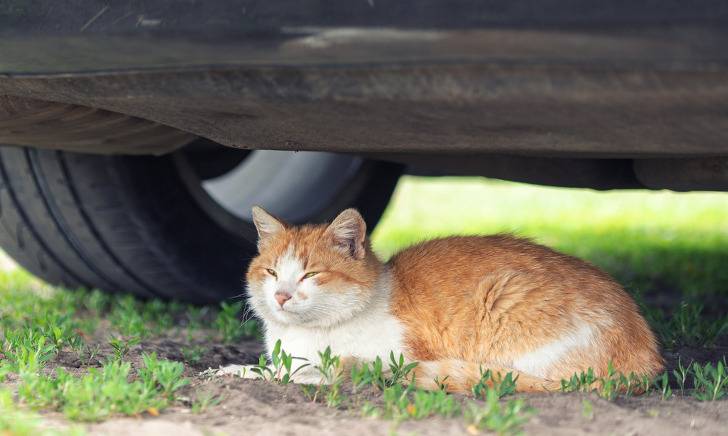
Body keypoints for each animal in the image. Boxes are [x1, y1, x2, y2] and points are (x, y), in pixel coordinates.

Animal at [223, 206, 664, 394]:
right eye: (272, 272)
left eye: (311, 274)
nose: (281, 295)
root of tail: (647, 356)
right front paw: (237, 369)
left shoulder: (395, 355)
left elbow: (308, 372)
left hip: (505, 304)